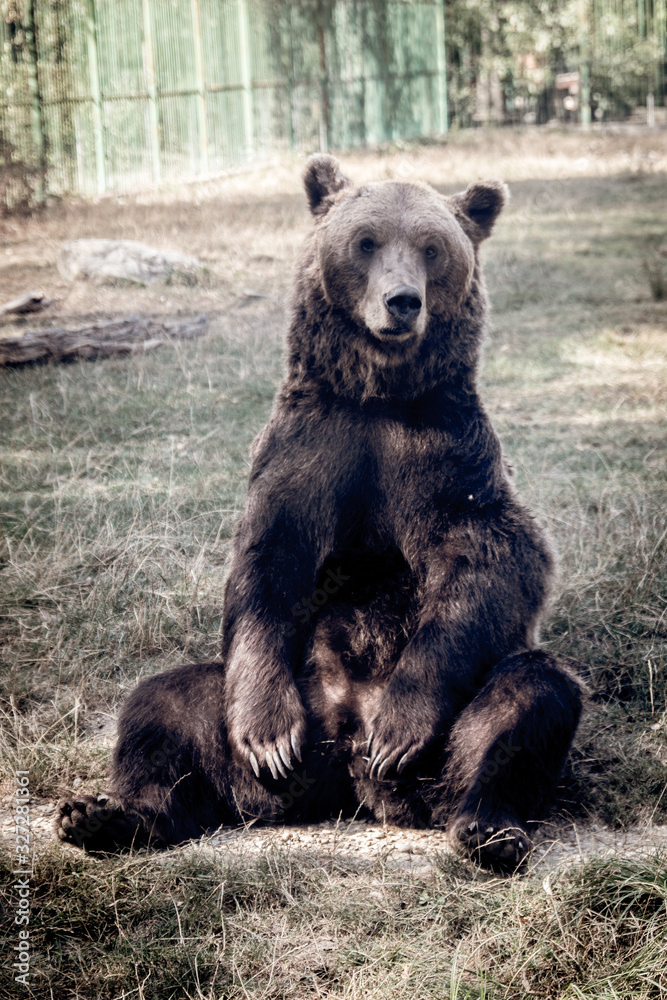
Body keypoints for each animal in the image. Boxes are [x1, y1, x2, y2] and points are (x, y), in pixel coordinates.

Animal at [55, 155, 584, 870]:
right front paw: (268, 735)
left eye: (432, 247)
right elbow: (268, 561)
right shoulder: (311, 447)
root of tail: (344, 771)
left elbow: (492, 559)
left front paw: (401, 724)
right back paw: (105, 815)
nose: (402, 301)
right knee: (162, 706)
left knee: (526, 700)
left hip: (443, 747)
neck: (378, 395)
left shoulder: (446, 455)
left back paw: (486, 826)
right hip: (275, 702)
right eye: (365, 241)